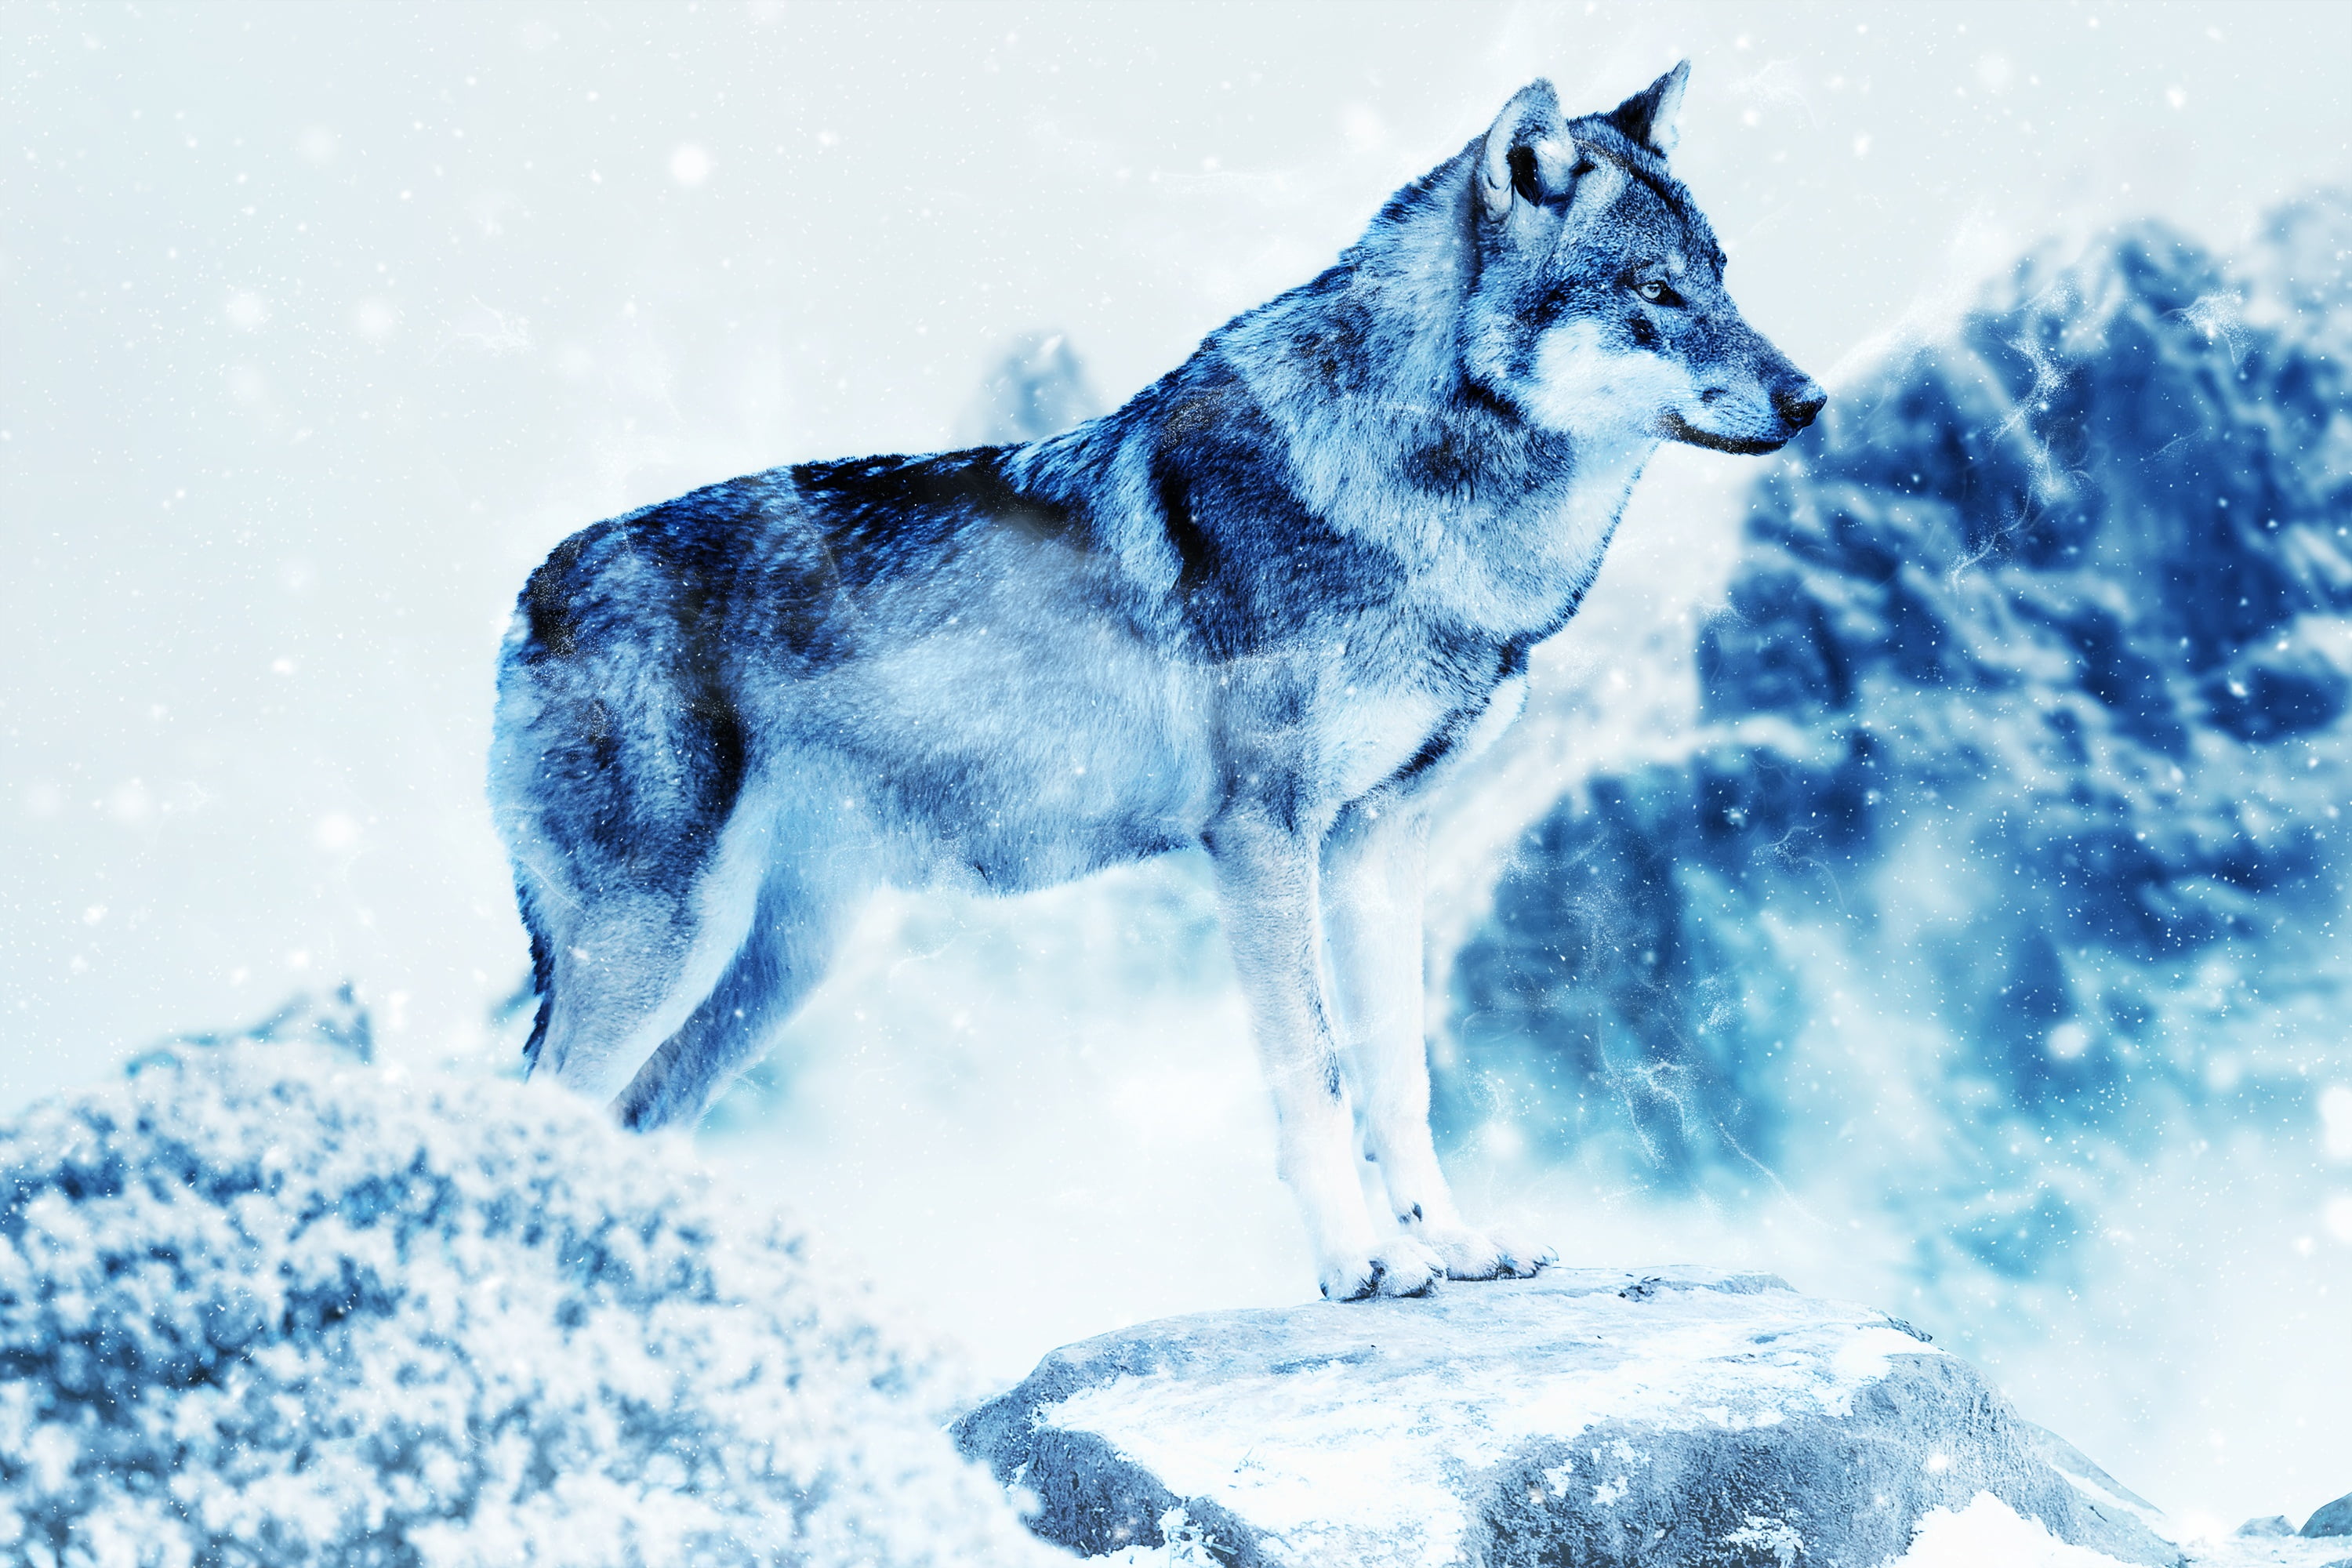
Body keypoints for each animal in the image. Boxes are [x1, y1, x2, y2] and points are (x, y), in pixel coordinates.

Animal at [489, 63, 1822, 1301]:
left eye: (1722, 277)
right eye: (1654, 292)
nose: (1811, 399)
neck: (1412, 503)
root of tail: (529, 593)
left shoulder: (1384, 837)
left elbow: (1401, 1075)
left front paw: (1455, 1244)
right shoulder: (1265, 836)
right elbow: (1316, 1073)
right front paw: (1361, 1265)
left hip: (777, 966)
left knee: (633, 1123)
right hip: (661, 947)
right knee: (533, 1113)